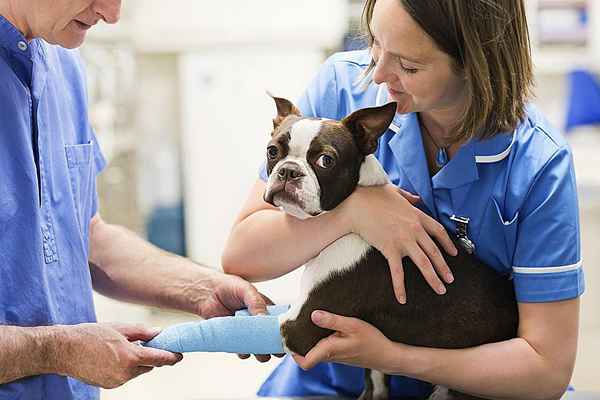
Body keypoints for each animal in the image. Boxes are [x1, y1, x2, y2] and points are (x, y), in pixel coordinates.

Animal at [264, 94, 516, 400]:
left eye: (326, 160)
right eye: (272, 151)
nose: (289, 171)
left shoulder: (298, 327)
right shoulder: (375, 372)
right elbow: (375, 383)